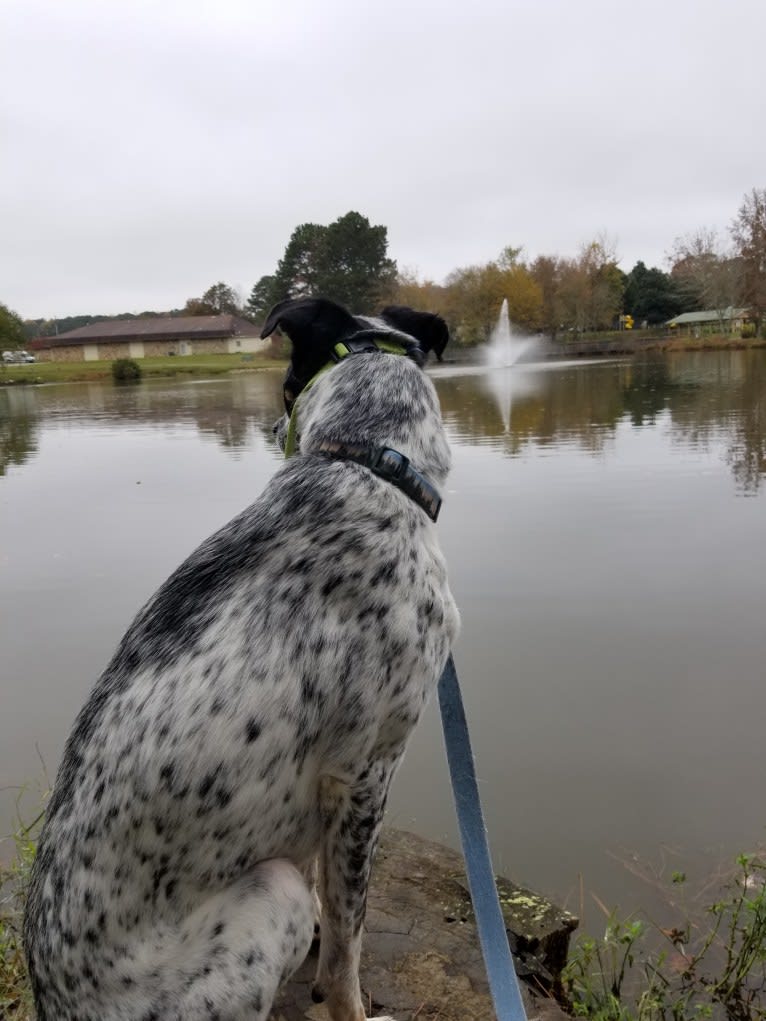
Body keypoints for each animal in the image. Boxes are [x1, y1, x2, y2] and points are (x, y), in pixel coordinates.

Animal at [25, 296, 461, 1021]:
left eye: (284, 386)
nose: (270, 423)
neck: (364, 462)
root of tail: (55, 1009)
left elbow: (329, 913)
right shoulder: (363, 775)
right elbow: (347, 944)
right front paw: (348, 1001)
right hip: (269, 893)